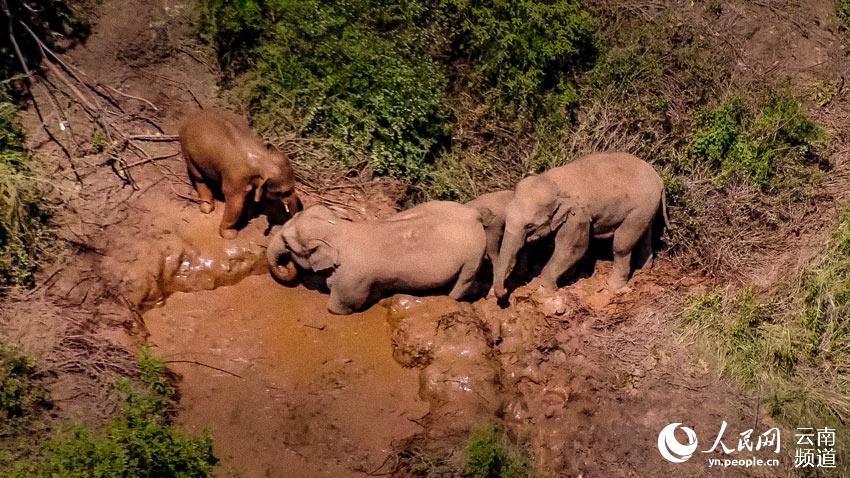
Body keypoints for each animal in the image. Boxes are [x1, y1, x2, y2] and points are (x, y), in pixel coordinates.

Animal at [264, 201, 490, 314]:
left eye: (287, 244)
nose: (285, 266)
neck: (339, 229)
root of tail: (474, 214)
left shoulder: (352, 278)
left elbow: (343, 305)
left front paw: (335, 308)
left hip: (474, 255)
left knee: (461, 283)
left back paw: (448, 298)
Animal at [490, 152, 668, 298]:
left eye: (530, 226)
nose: (504, 291)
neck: (552, 181)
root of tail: (658, 178)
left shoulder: (577, 215)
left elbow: (572, 248)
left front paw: (546, 289)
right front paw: (571, 277)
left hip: (640, 208)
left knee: (622, 245)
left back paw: (613, 287)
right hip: (647, 208)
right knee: (645, 234)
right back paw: (643, 271)